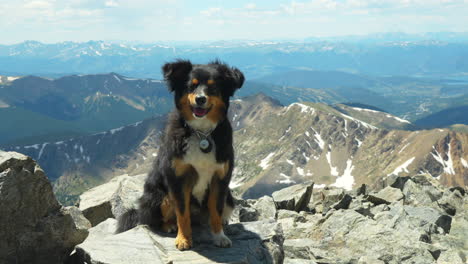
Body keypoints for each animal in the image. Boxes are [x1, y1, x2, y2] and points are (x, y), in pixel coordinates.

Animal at [116, 58, 245, 251]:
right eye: (191, 86)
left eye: (213, 87)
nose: (200, 99)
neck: (201, 133)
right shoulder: (178, 177)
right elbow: (182, 214)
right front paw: (183, 239)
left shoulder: (220, 178)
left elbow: (216, 211)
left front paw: (219, 236)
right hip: (160, 196)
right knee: (154, 220)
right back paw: (169, 225)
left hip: (229, 198)